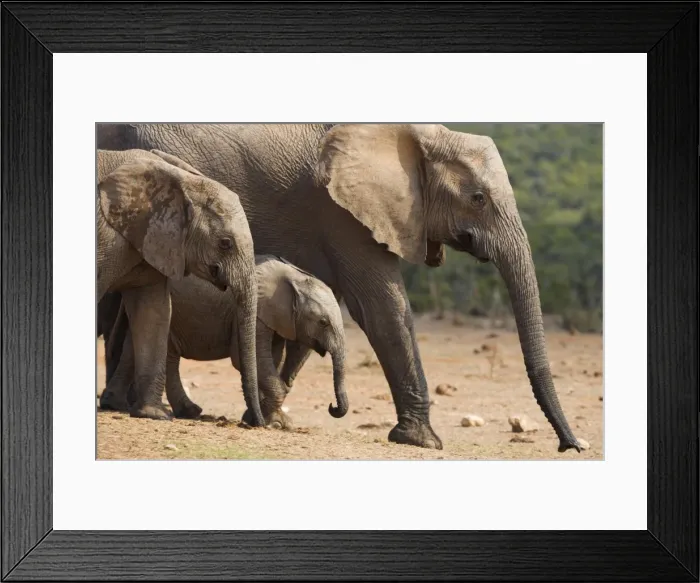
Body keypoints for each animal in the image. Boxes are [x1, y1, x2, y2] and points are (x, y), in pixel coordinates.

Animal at [96, 148, 264, 425]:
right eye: (225, 243)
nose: (254, 424)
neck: (182, 182)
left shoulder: (154, 240)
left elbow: (155, 312)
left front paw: (153, 414)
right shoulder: (107, 238)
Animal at [102, 254, 349, 428]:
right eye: (323, 322)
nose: (332, 407)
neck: (293, 277)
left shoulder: (276, 319)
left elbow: (272, 359)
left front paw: (260, 417)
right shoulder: (255, 313)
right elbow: (248, 360)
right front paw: (277, 423)